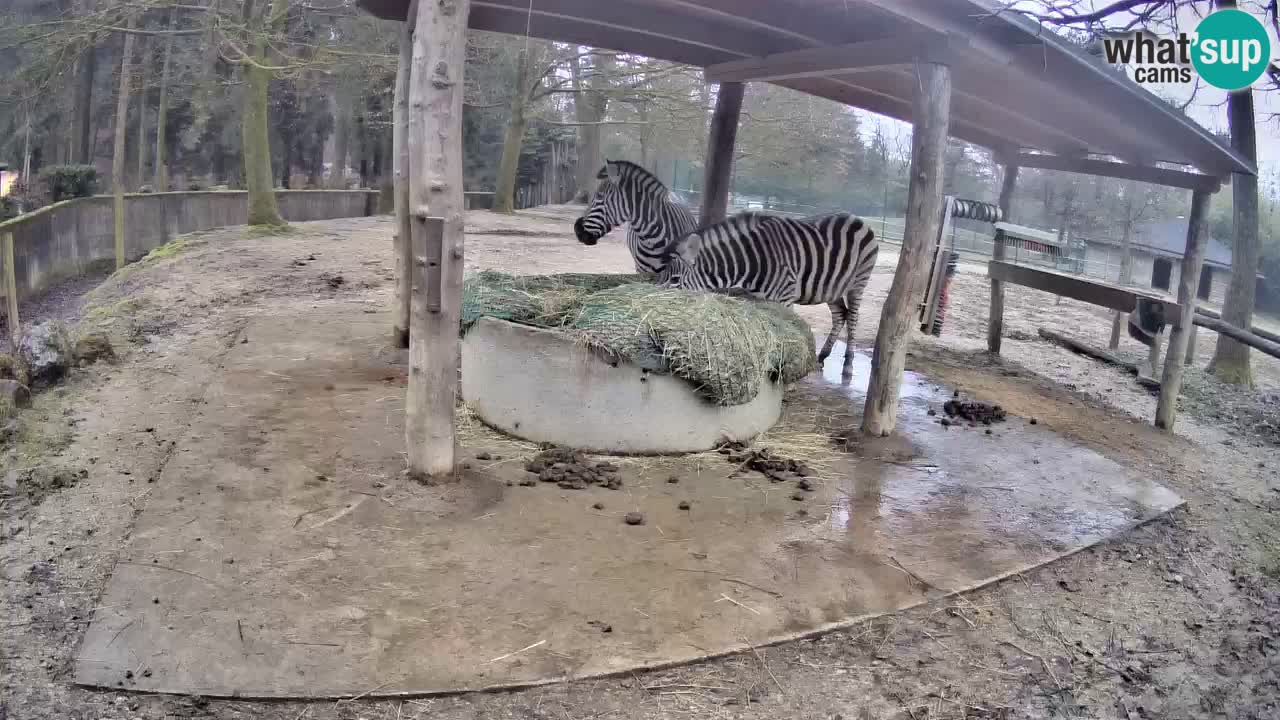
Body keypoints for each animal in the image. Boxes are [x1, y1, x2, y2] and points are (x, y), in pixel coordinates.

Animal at [657, 211, 879, 379]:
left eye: (675, 280)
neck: (752, 262)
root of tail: (856, 218)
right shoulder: (762, 299)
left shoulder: (785, 297)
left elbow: (785, 337)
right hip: (831, 288)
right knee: (840, 316)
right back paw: (823, 356)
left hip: (858, 282)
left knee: (853, 317)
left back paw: (848, 365)